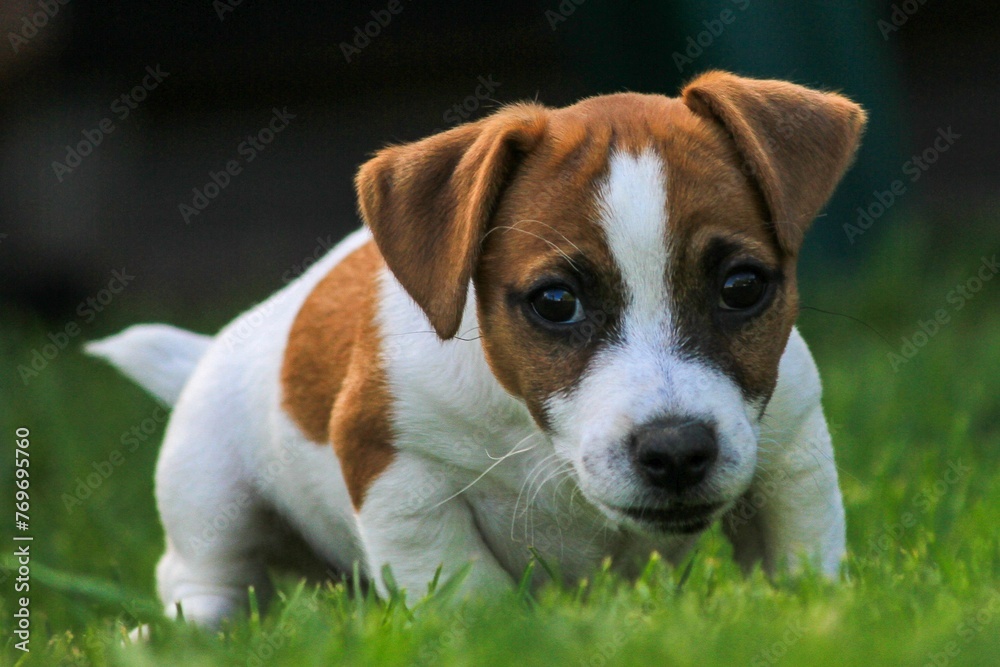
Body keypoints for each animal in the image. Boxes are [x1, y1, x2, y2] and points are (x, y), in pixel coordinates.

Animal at [90, 72, 864, 628]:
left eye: (743, 286)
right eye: (555, 302)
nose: (675, 450)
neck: (532, 431)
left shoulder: (792, 451)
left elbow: (801, 555)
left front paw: (813, 611)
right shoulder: (398, 474)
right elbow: (467, 589)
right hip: (209, 494)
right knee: (203, 575)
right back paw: (191, 633)